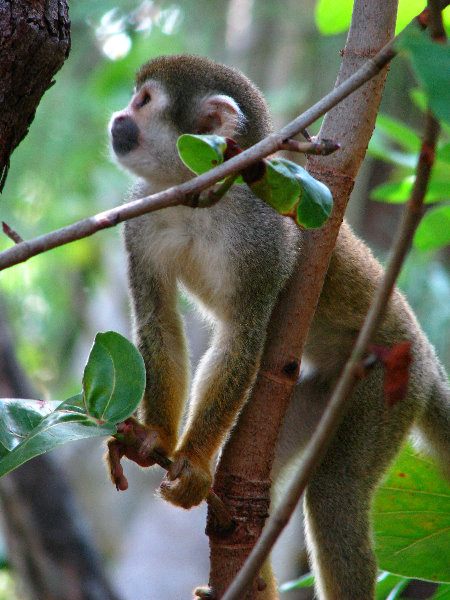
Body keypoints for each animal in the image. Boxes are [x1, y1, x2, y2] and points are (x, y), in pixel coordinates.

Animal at [110, 54, 450, 596]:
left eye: (143, 102)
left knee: (334, 495)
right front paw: (155, 440)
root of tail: (427, 358)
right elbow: (158, 320)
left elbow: (243, 335)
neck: (204, 196)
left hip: (390, 388)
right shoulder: (141, 221)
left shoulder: (264, 236)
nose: (119, 118)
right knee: (265, 480)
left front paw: (194, 462)